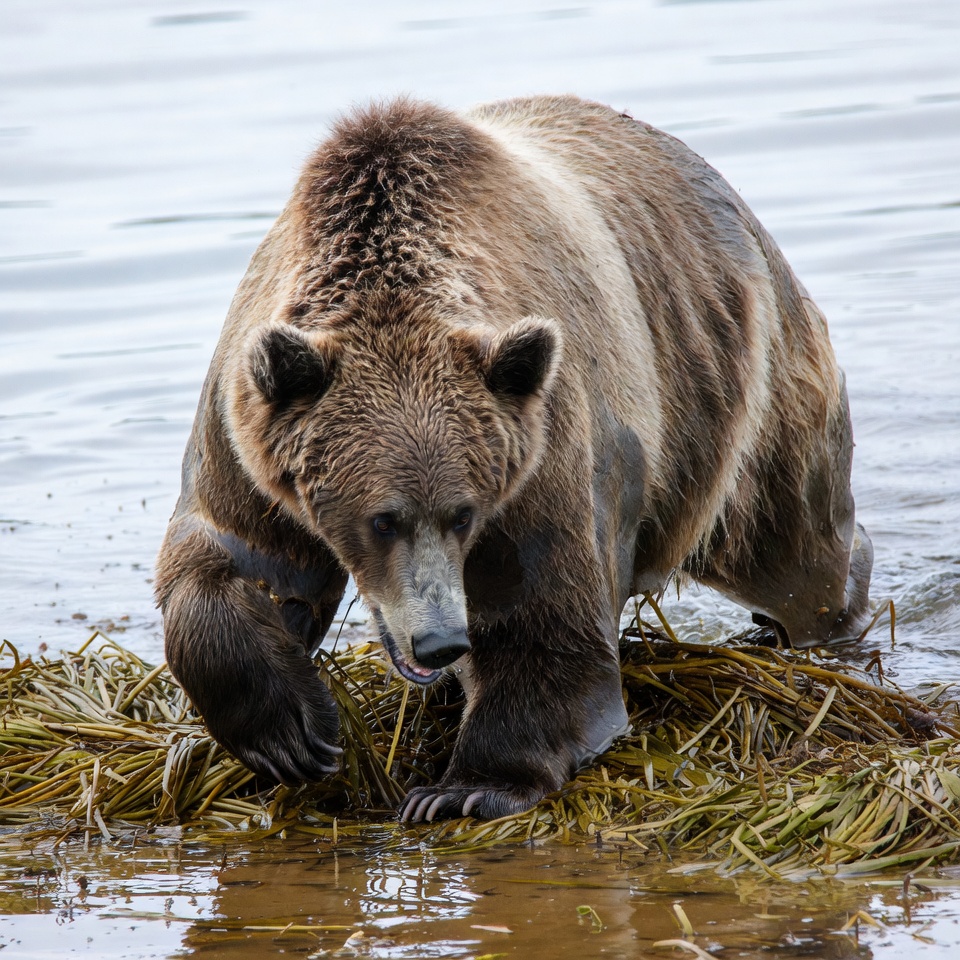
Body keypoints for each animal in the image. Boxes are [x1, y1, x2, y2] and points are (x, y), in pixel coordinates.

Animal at [155, 95, 874, 821]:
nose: (440, 640)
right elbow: (234, 559)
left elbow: (543, 609)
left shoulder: (539, 449)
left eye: (462, 514)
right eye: (382, 519)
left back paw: (825, 612)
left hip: (733, 388)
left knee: (786, 542)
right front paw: (292, 734)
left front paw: (463, 787)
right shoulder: (251, 439)